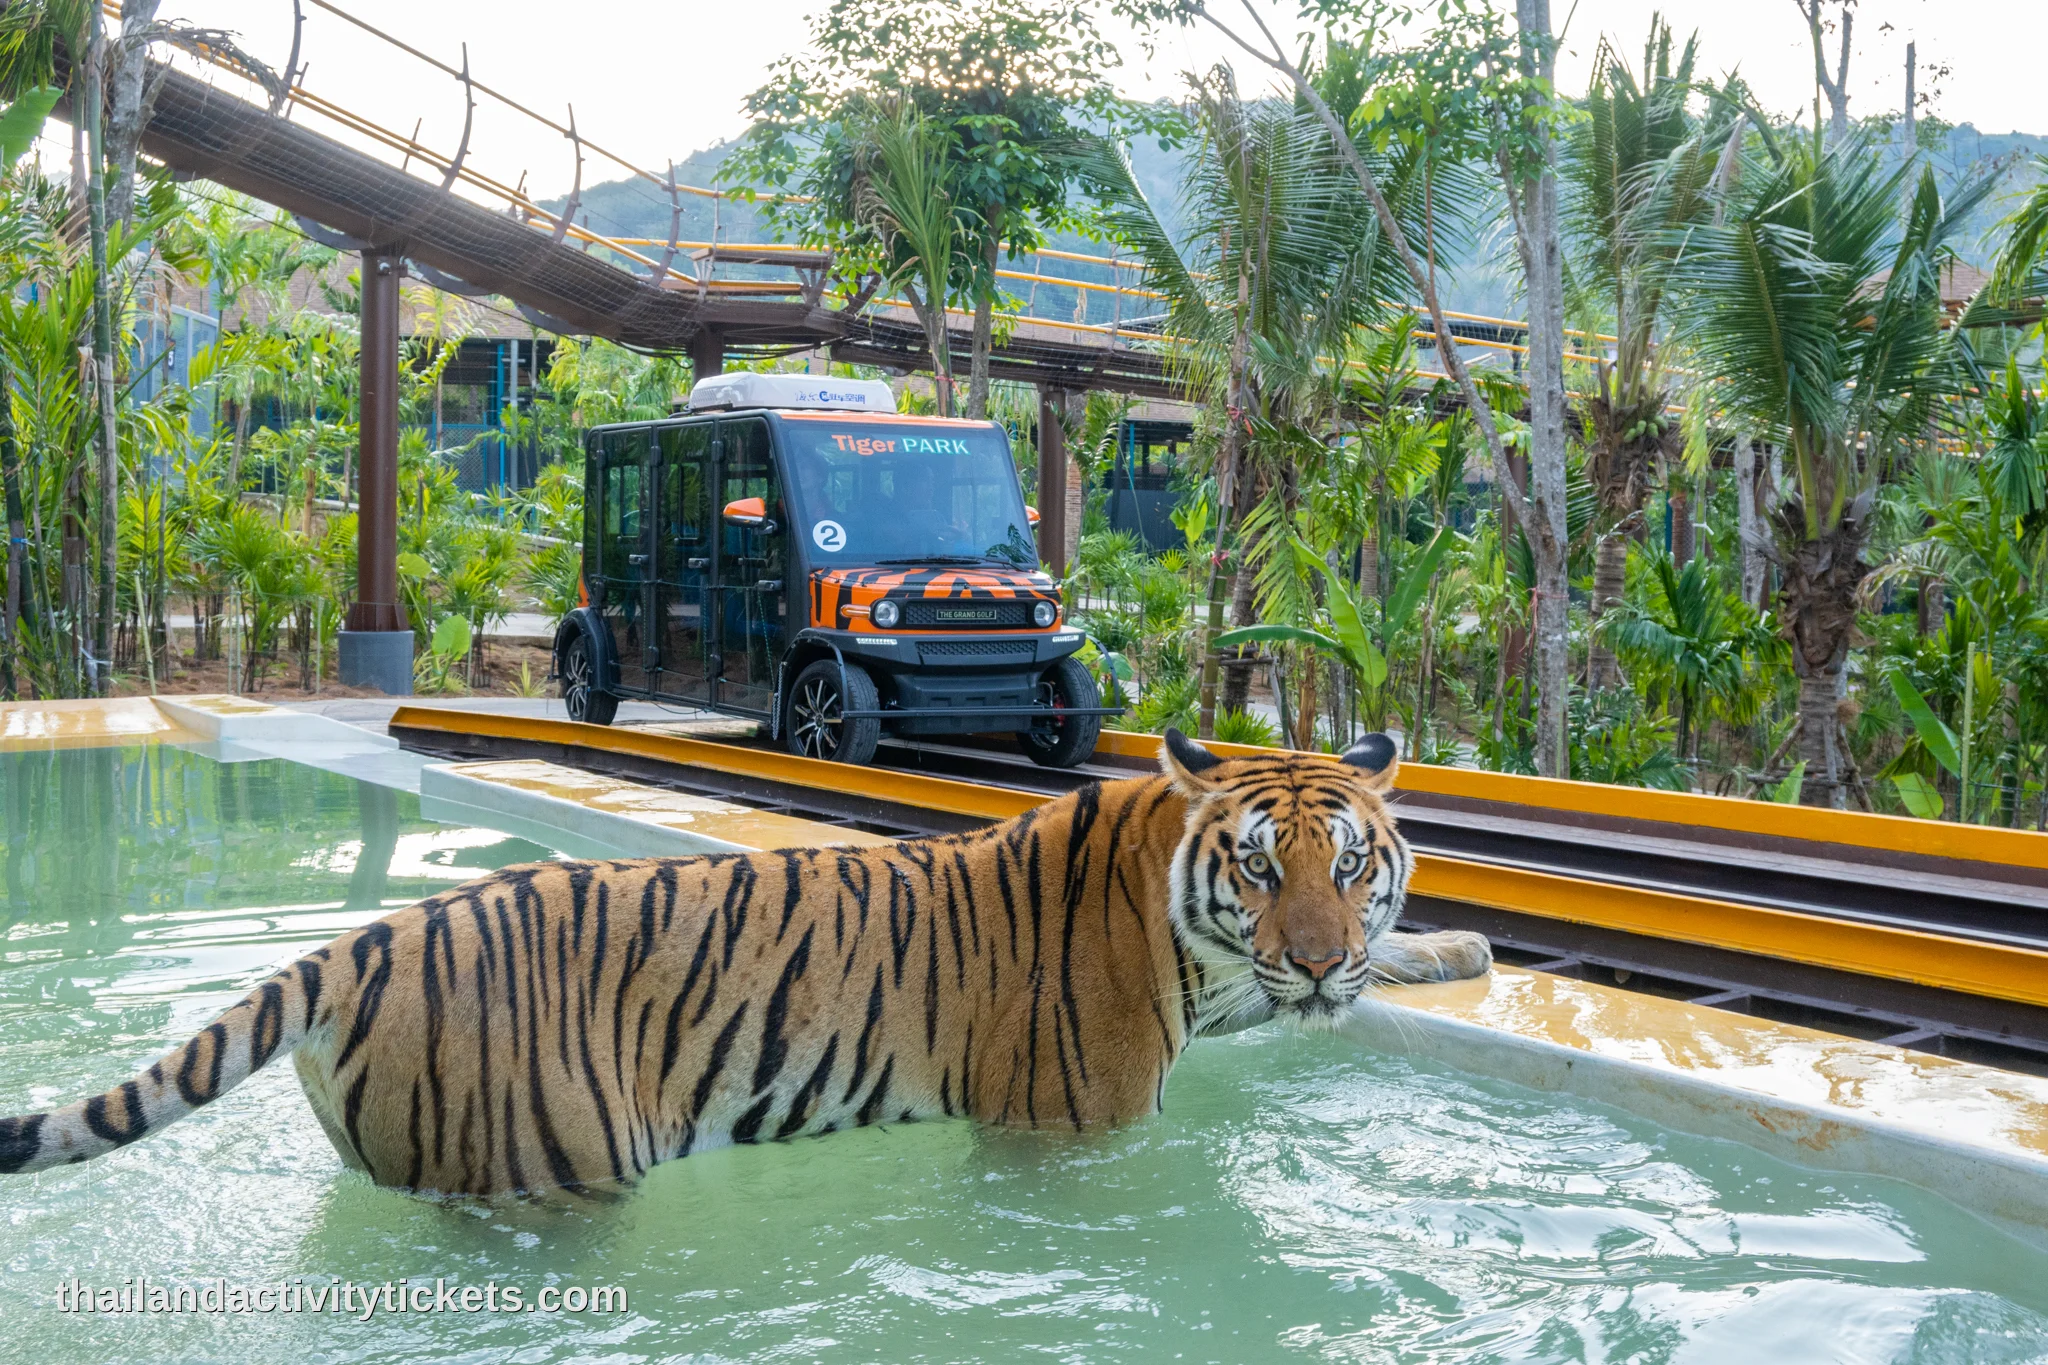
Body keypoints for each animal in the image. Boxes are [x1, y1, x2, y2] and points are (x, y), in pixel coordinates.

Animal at [0, 729, 1491, 1197]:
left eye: (1346, 867)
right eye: (1259, 869)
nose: (1317, 963)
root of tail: (371, 937)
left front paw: (1452, 946)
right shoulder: (1068, 1125)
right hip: (553, 1167)